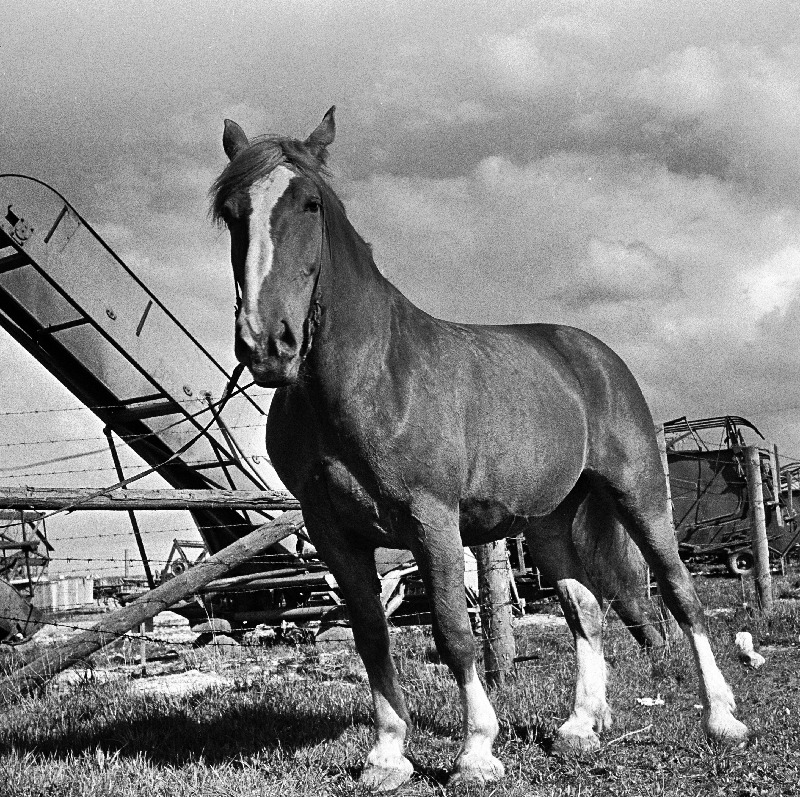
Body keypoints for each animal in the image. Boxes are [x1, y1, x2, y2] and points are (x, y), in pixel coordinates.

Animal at [209, 107, 748, 788]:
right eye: (232, 212)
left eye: (310, 203)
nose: (266, 343)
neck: (374, 376)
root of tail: (593, 355)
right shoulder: (334, 533)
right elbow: (370, 636)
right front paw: (387, 756)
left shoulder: (433, 520)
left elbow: (451, 632)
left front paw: (475, 753)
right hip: (548, 523)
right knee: (585, 609)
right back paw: (580, 728)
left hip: (641, 496)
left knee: (681, 594)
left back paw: (721, 719)